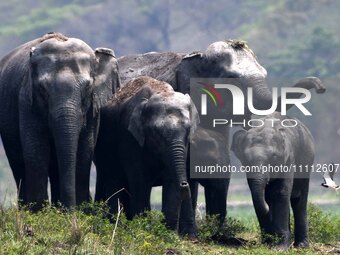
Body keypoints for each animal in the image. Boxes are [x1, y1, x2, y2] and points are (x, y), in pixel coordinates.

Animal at [0, 32, 121, 209]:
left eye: (87, 87)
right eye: (42, 88)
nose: (70, 211)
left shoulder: (93, 109)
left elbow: (84, 152)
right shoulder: (26, 101)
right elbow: (36, 152)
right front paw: (38, 213)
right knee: (19, 165)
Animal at [93, 75, 199, 233]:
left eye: (188, 131)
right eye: (156, 132)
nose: (185, 183)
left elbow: (171, 181)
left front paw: (169, 235)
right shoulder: (129, 138)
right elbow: (140, 181)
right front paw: (142, 231)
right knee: (114, 180)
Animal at [230, 112, 314, 250]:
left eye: (274, 157)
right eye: (245, 158)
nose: (268, 208)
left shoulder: (288, 159)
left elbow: (280, 193)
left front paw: (280, 248)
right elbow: (258, 195)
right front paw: (268, 243)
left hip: (307, 162)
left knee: (299, 200)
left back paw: (301, 246)